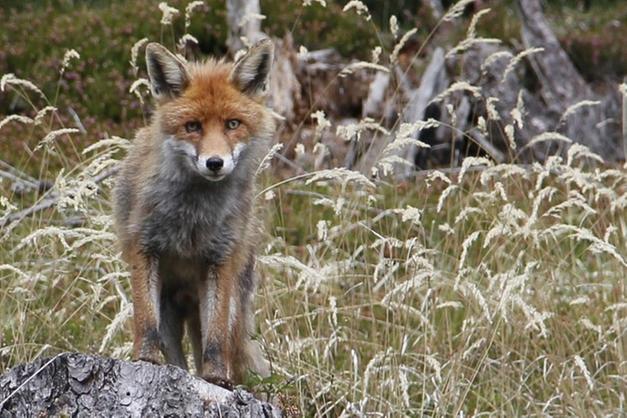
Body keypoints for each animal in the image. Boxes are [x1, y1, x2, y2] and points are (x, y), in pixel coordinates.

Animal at [113, 40, 274, 388]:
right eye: (192, 126)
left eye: (232, 124)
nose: (214, 163)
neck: (193, 218)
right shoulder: (144, 248)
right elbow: (145, 322)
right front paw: (144, 360)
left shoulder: (220, 260)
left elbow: (215, 340)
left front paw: (216, 380)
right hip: (170, 309)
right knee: (178, 359)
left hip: (229, 304)